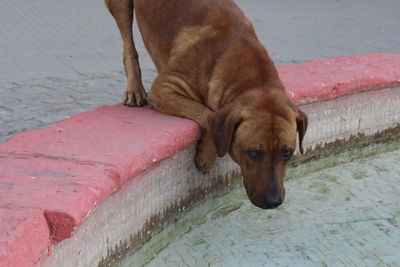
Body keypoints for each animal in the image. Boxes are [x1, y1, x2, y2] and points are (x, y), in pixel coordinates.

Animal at [104, 0, 308, 209]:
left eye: (287, 153)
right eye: (253, 153)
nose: (273, 201)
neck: (252, 79)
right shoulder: (164, 88)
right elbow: (207, 114)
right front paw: (207, 155)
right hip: (121, 7)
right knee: (128, 46)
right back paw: (134, 88)